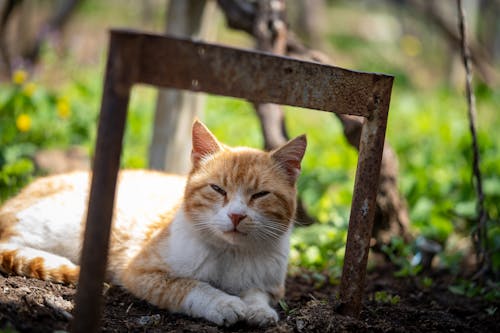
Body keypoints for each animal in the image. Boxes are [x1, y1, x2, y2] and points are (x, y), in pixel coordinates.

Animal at [0, 120, 306, 326]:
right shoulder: (141, 272)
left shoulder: (272, 286)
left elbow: (256, 294)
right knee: (9, 243)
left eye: (260, 195)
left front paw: (258, 310)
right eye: (218, 189)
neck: (230, 254)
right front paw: (225, 303)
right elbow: (191, 286)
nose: (236, 215)